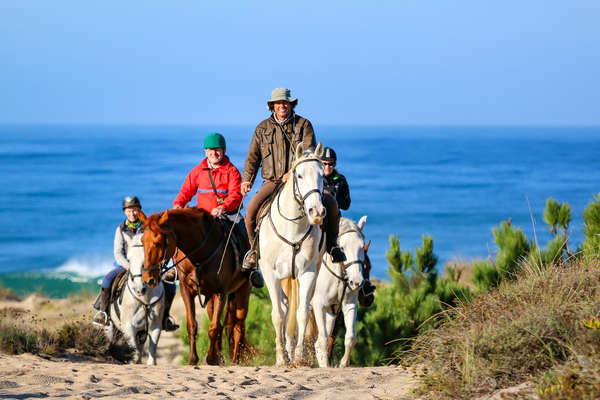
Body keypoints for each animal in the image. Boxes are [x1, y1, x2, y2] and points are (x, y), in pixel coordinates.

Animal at [103, 234, 164, 366]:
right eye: (129, 260)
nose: (139, 289)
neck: (145, 300)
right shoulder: (128, 328)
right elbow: (135, 355)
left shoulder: (155, 326)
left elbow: (151, 354)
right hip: (111, 326)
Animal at [139, 208, 252, 364]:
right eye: (142, 241)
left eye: (158, 242)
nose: (147, 279)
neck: (199, 254)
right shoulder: (186, 291)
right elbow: (192, 325)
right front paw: (194, 359)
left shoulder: (220, 293)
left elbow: (213, 328)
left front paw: (210, 358)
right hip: (212, 300)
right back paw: (220, 358)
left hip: (243, 291)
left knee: (238, 327)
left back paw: (235, 361)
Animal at [260, 142, 326, 368]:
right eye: (299, 175)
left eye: (322, 175)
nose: (317, 212)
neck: (292, 229)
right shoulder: (270, 273)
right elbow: (278, 315)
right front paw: (281, 358)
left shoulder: (307, 272)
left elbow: (302, 313)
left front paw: (298, 356)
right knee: (283, 307)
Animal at [312, 217, 368, 368]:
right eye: (342, 247)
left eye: (362, 247)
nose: (357, 282)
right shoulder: (318, 305)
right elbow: (324, 340)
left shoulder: (348, 304)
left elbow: (350, 337)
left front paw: (342, 364)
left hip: (331, 312)